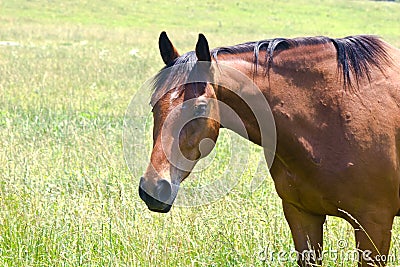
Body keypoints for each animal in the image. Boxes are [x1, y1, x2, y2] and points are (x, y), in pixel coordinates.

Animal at [138, 31, 400, 267]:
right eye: (153, 104)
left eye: (200, 108)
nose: (153, 188)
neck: (332, 116)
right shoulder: (302, 216)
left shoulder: (373, 225)